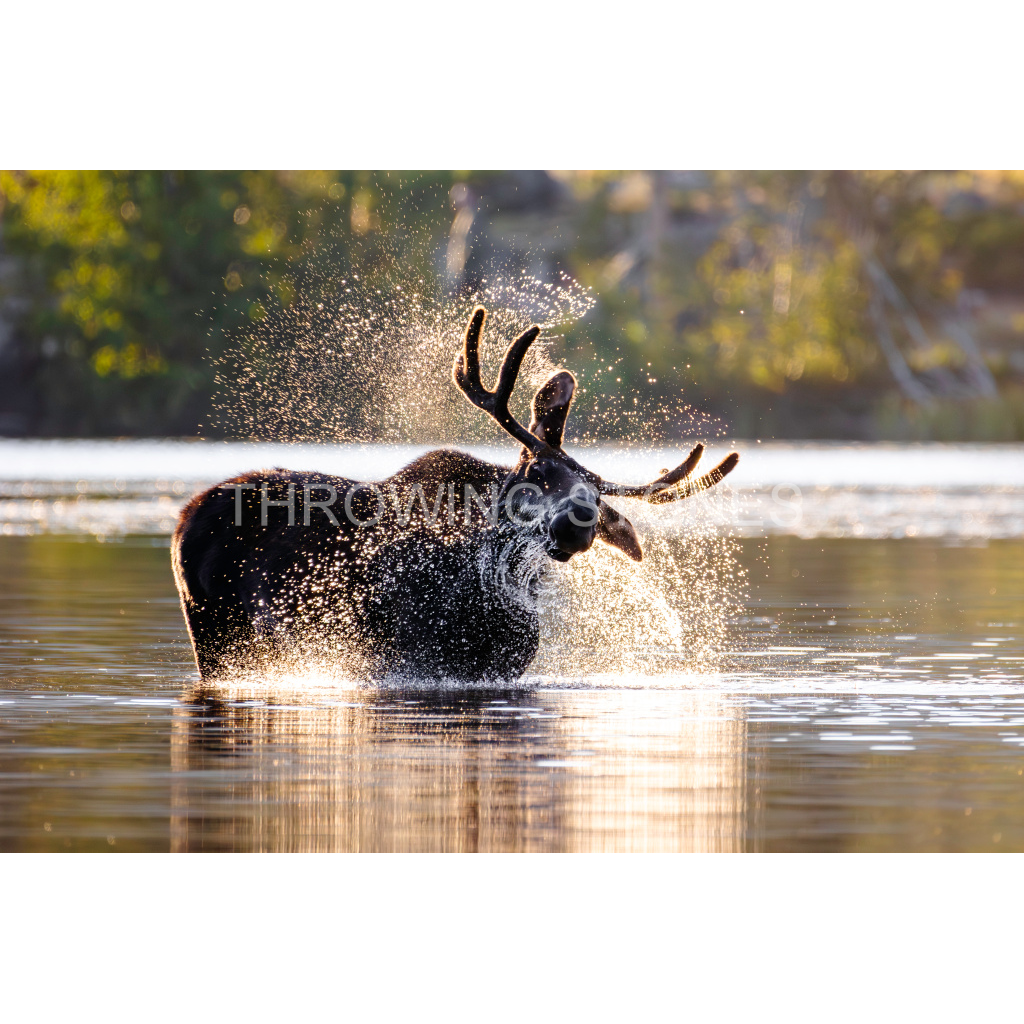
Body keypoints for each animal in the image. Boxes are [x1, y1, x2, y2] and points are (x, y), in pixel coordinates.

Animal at [171, 307, 739, 684]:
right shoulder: (396, 660)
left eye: (598, 503)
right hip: (212, 631)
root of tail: (186, 514)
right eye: (536, 470)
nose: (575, 522)